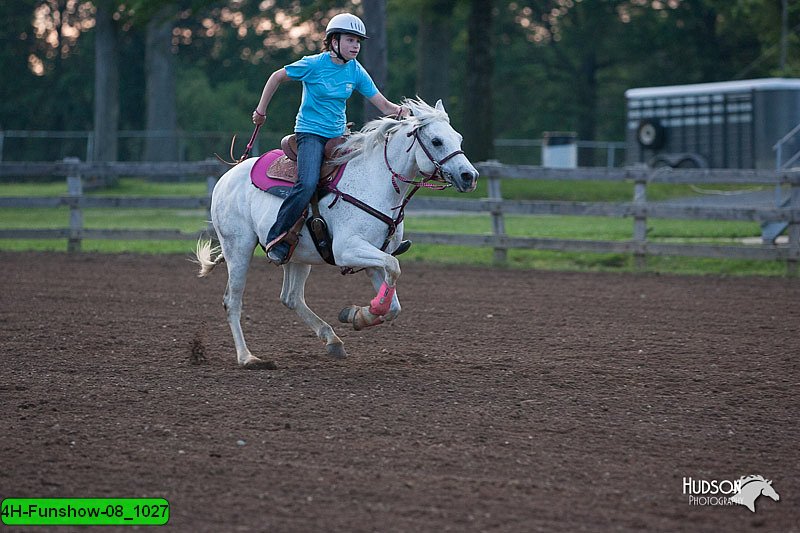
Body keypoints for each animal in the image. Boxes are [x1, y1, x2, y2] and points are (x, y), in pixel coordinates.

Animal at [196, 98, 478, 366]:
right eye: (436, 141)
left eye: (459, 138)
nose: (469, 176)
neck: (375, 183)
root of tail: (228, 176)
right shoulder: (347, 249)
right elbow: (394, 267)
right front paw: (362, 312)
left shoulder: (374, 256)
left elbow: (393, 303)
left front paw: (357, 314)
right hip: (238, 249)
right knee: (232, 301)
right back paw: (247, 357)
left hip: (298, 255)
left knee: (291, 297)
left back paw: (332, 339)